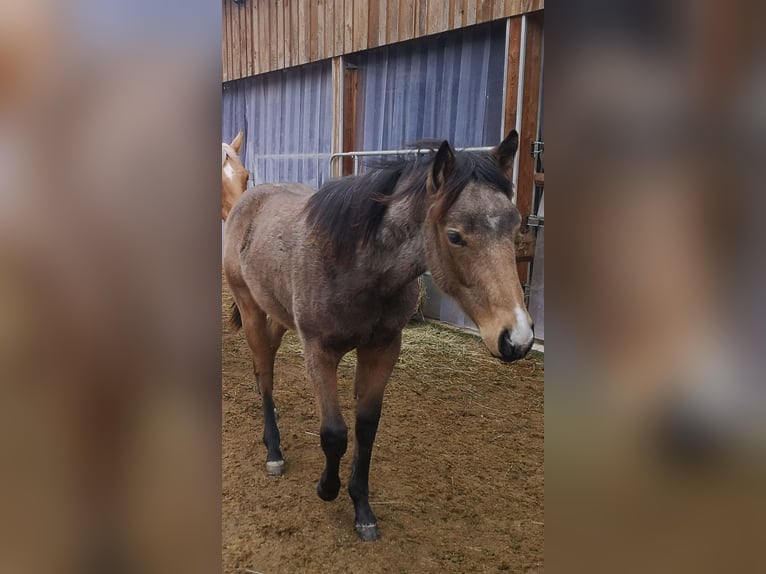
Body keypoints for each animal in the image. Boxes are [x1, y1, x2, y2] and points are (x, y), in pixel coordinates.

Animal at [223, 130, 534, 541]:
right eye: (455, 236)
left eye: (514, 226)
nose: (518, 337)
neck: (356, 264)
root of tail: (247, 201)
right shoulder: (318, 351)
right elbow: (334, 433)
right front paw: (327, 488)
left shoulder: (383, 348)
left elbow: (366, 428)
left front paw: (362, 509)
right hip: (252, 311)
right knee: (264, 374)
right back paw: (273, 451)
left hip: (275, 313)